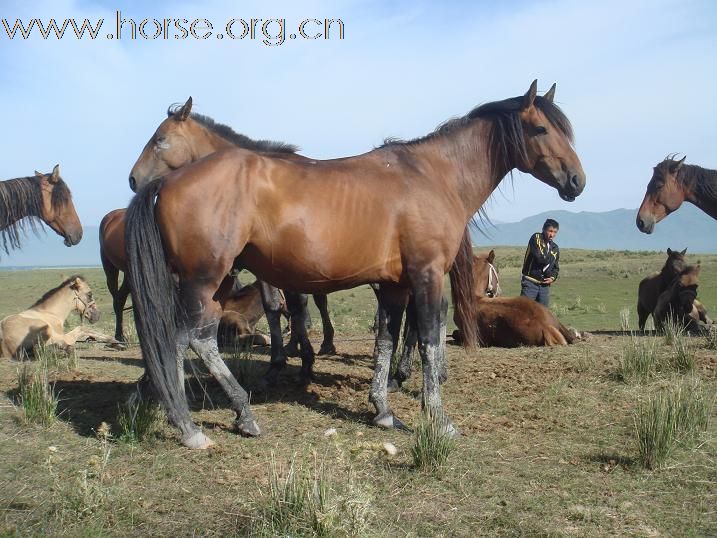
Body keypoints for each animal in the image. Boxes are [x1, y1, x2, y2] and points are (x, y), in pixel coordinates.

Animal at [126, 80, 584, 448]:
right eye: (542, 129)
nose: (578, 181)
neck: (433, 175)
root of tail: (169, 180)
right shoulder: (426, 276)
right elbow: (428, 338)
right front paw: (438, 418)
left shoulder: (395, 285)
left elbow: (386, 339)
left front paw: (383, 410)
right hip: (205, 280)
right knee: (191, 339)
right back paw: (197, 424)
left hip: (213, 281)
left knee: (189, 340)